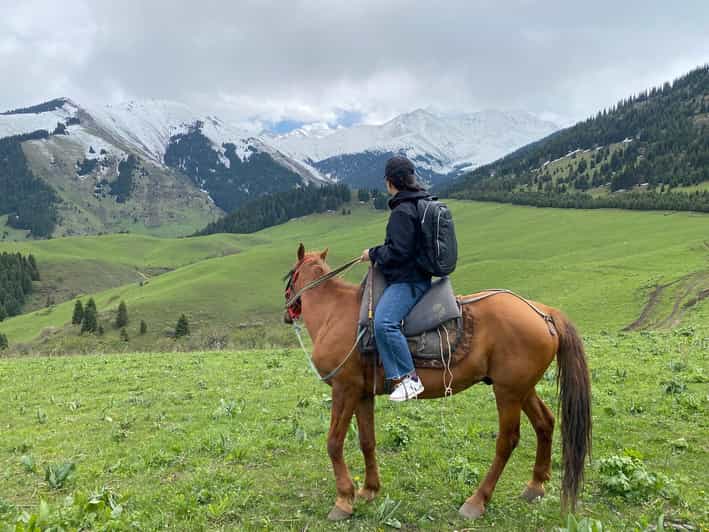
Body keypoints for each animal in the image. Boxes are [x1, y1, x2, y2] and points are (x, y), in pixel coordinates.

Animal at [283, 244, 591, 522]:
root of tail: (543, 312)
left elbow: (334, 443)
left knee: (508, 440)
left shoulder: (344, 389)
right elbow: (367, 440)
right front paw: (369, 489)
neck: (333, 314)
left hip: (508, 392)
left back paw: (476, 501)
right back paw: (535, 486)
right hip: (521, 389)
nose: (288, 313)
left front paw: (343, 500)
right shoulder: (362, 393)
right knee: (545, 422)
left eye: (289, 276)